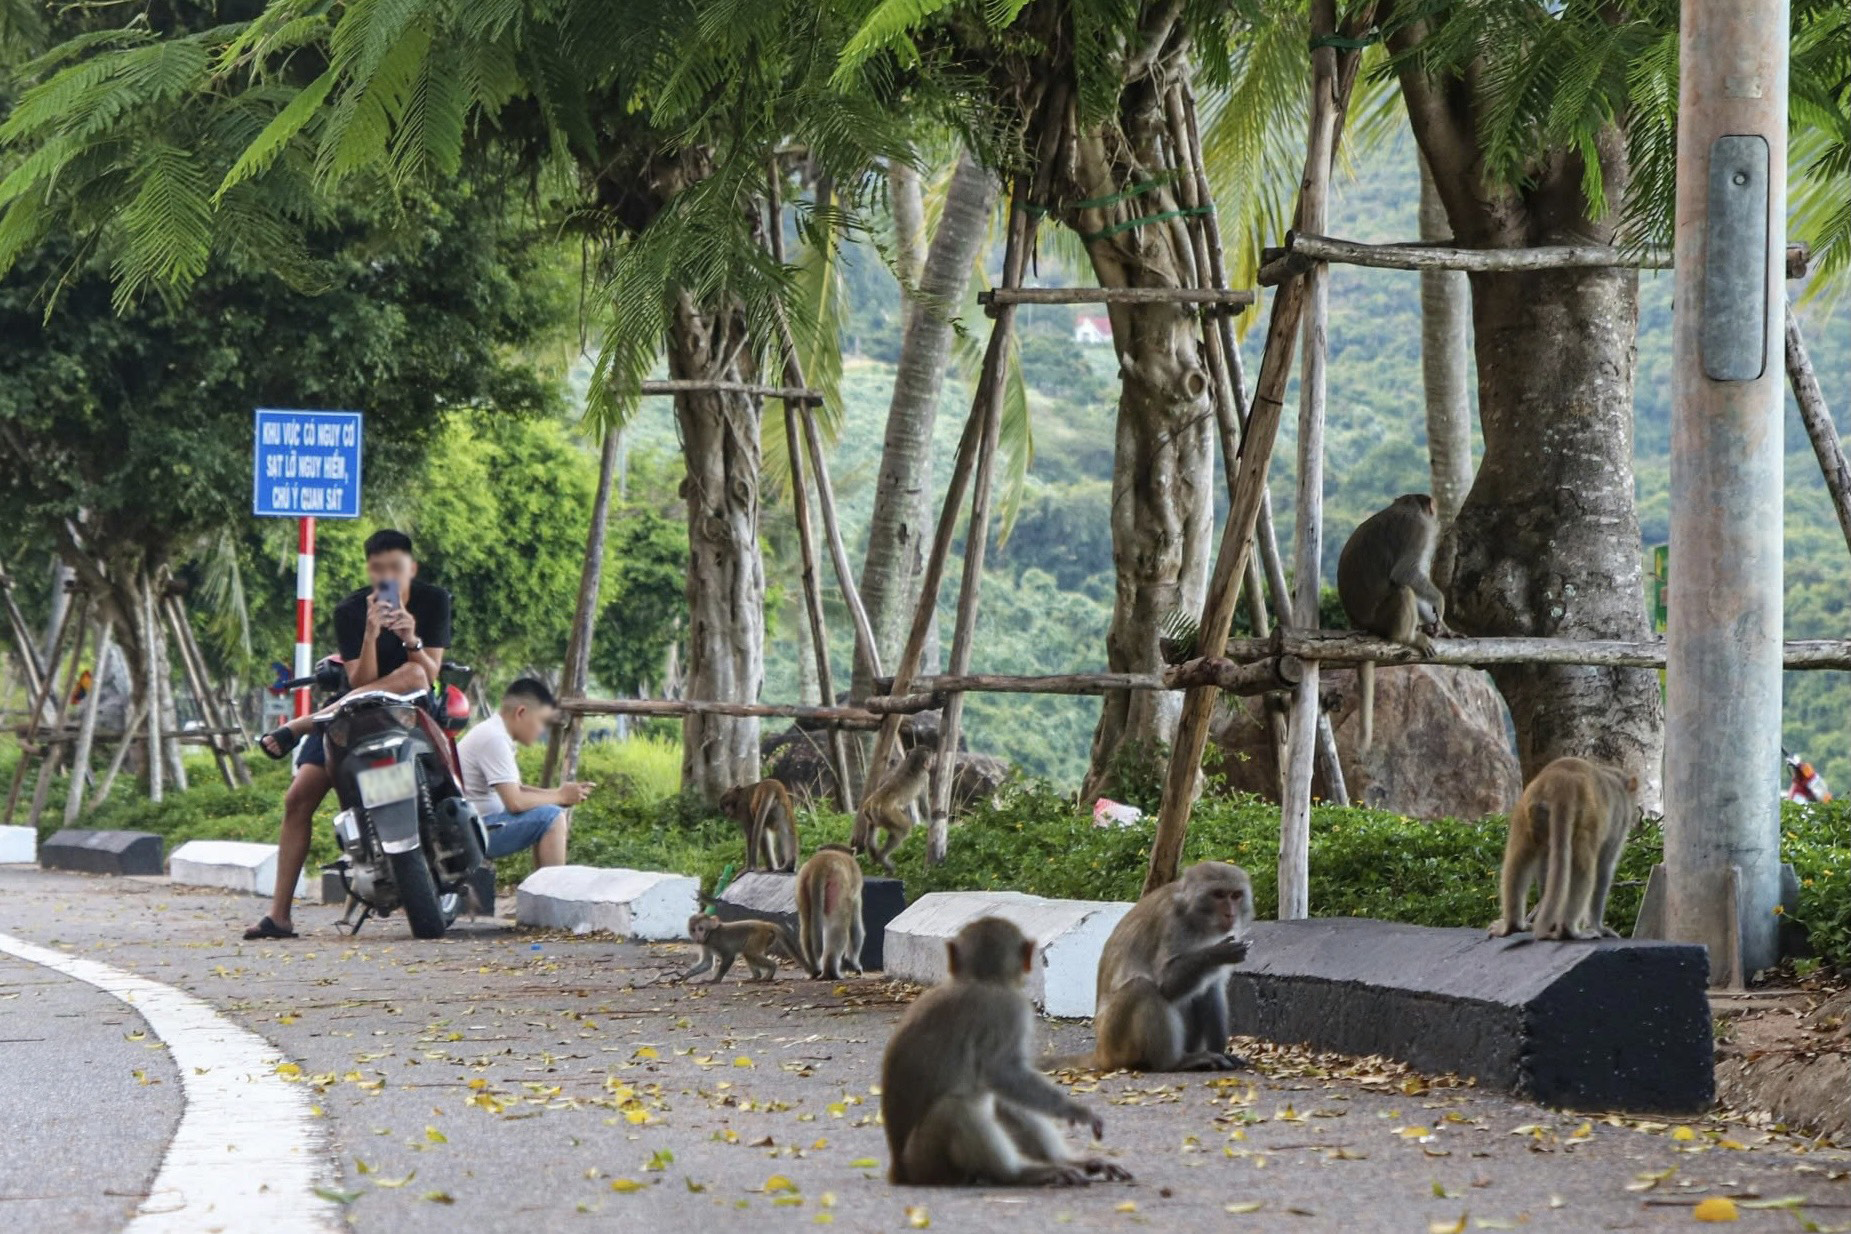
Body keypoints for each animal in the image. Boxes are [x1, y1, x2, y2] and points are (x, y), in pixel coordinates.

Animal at [788, 843, 858, 976]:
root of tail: (819, 864)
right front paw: (855, 964)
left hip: (801, 885)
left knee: (806, 928)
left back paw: (815, 969)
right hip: (837, 887)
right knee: (838, 926)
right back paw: (832, 972)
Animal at [877, 917, 1125, 1184]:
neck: (981, 979)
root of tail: (899, 1171)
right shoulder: (1010, 1009)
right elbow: (1002, 1071)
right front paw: (1074, 1110)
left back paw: (1066, 1161)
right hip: (927, 1160)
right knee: (956, 1108)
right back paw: (1018, 1173)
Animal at [1043, 865, 1258, 1073]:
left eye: (1236, 895)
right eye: (1219, 895)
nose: (1230, 913)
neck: (1195, 918)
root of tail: (1100, 1053)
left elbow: (1212, 988)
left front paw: (1221, 1052)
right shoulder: (1173, 925)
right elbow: (1166, 985)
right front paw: (1217, 953)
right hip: (1115, 1040)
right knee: (1142, 987)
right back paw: (1173, 1063)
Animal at [1340, 492, 1451, 754]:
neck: (1406, 506)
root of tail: (1356, 622)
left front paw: (1439, 626)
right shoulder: (1418, 529)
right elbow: (1405, 573)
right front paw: (1439, 605)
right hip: (1381, 617)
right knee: (1403, 591)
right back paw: (1408, 637)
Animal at [1480, 758, 1643, 939]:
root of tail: (1559, 781)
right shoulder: (1619, 823)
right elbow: (1604, 867)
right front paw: (1599, 926)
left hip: (1527, 813)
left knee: (1518, 861)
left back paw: (1513, 925)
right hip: (1586, 818)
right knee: (1583, 868)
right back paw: (1569, 930)